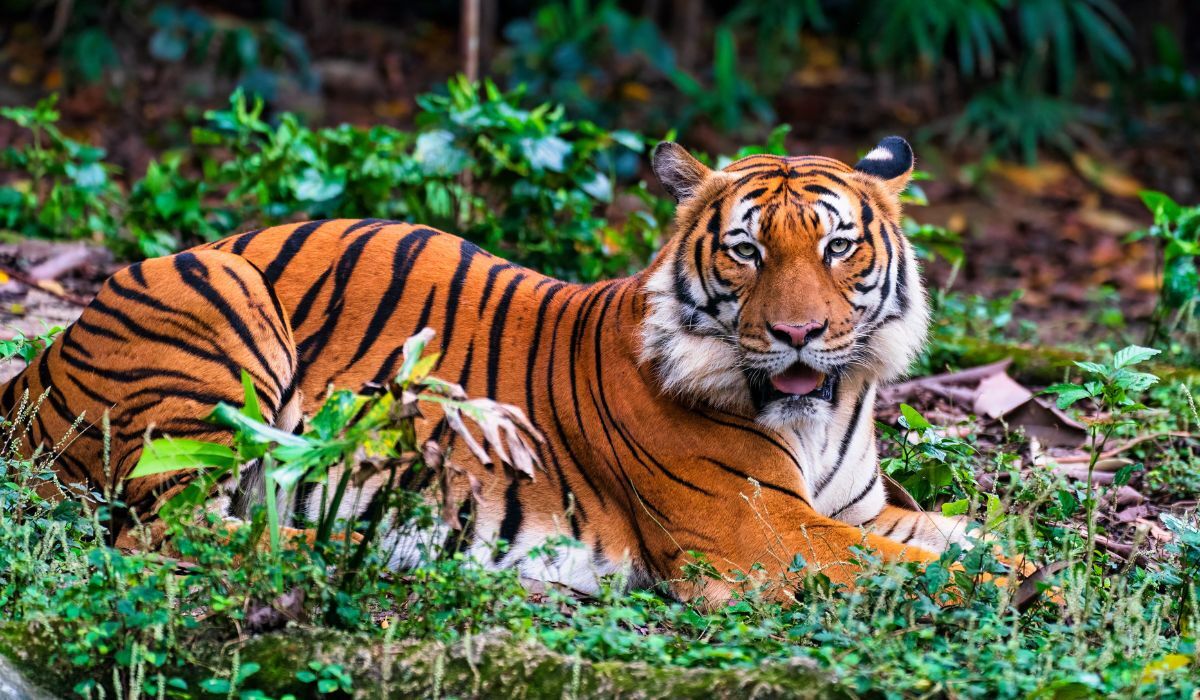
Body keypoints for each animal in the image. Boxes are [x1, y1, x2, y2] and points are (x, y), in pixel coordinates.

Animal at [0, 136, 976, 601]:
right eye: (746, 250)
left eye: (838, 246)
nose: (799, 333)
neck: (823, 410)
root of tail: (38, 362)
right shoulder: (761, 534)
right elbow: (934, 570)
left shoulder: (855, 512)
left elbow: (959, 540)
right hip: (221, 306)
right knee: (172, 532)